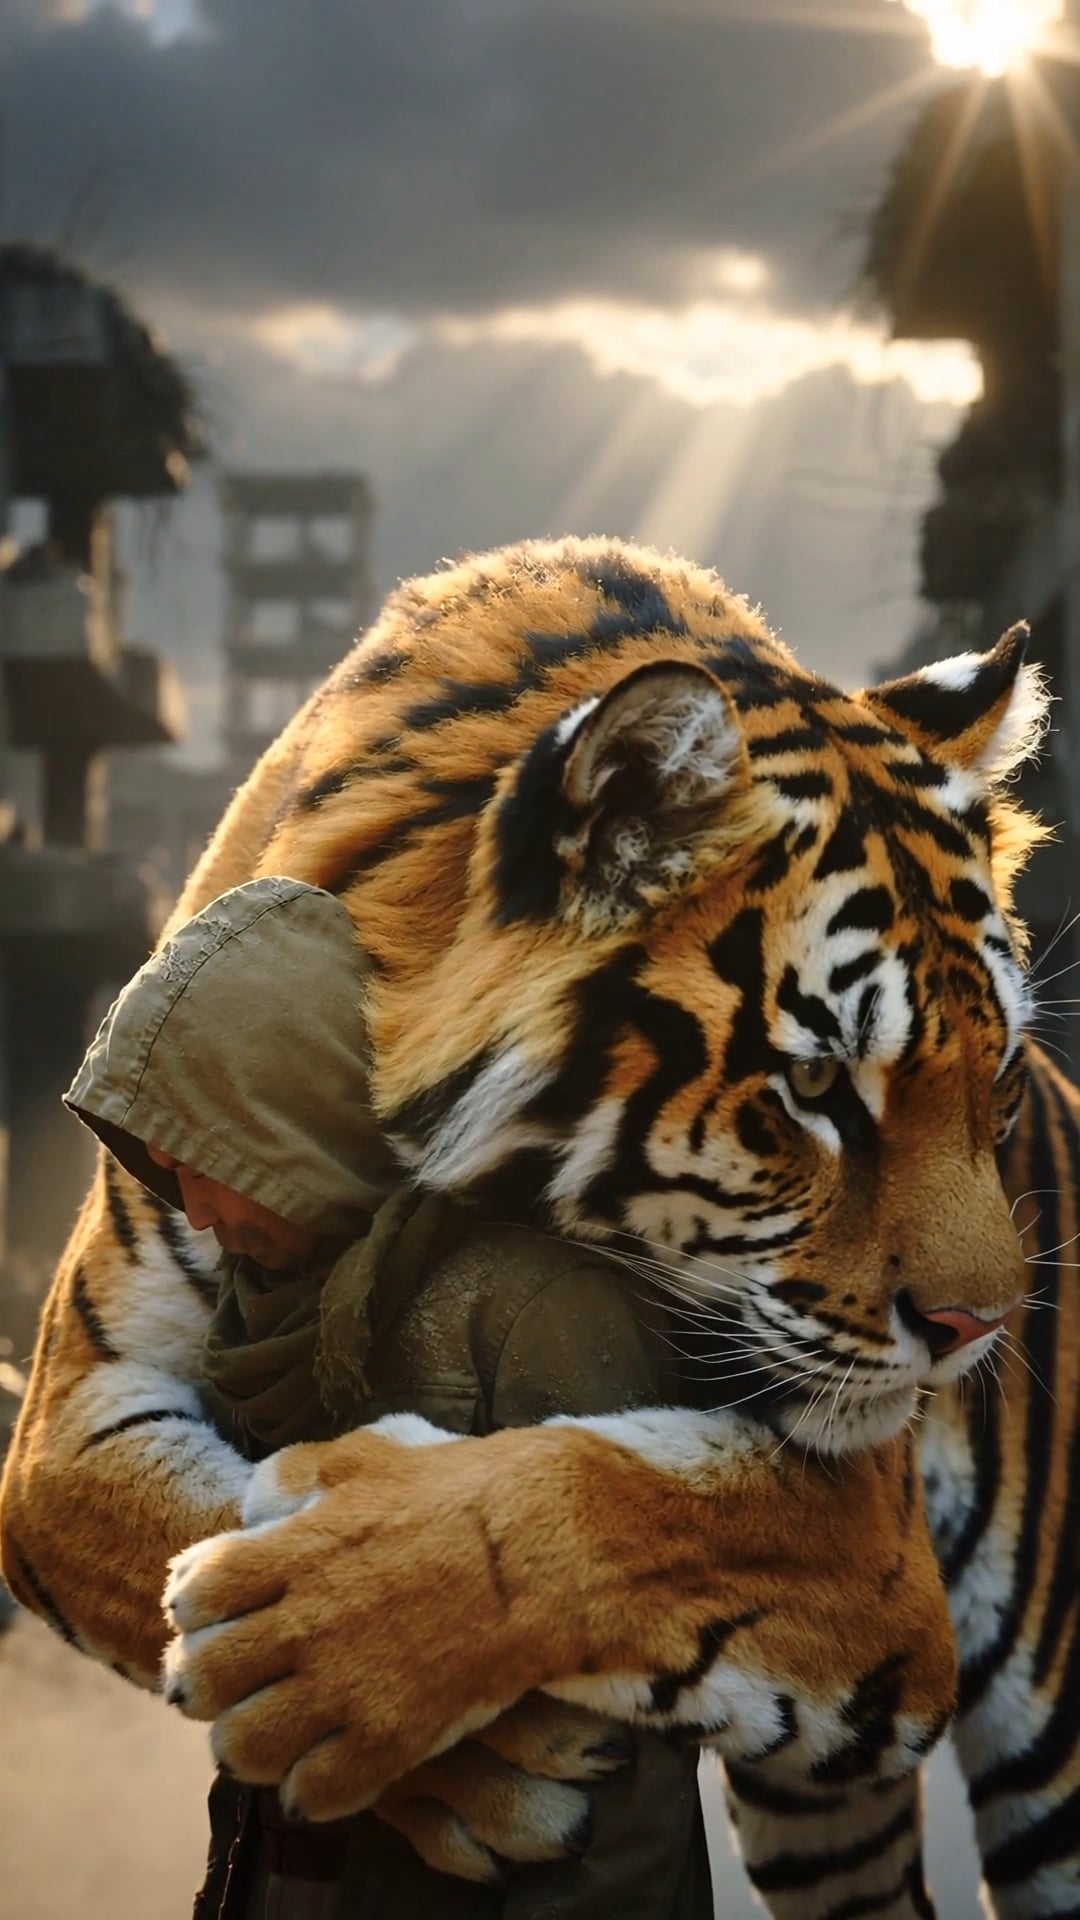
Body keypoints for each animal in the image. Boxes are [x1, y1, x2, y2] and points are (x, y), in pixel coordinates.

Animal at [1, 535, 1076, 1920]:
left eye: (996, 1082)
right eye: (818, 1086)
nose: (979, 1326)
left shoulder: (867, 1529)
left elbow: (628, 1502)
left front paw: (328, 1634)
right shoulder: (71, 1413)